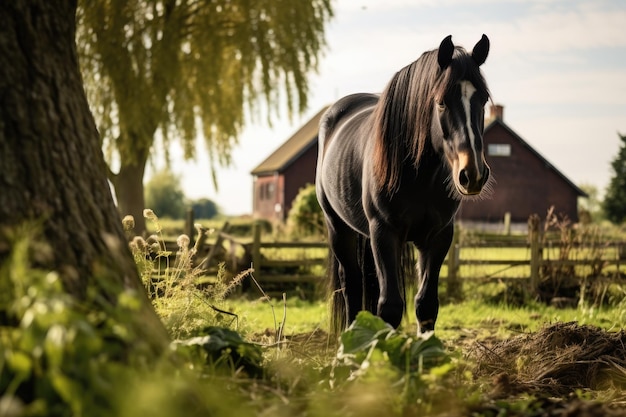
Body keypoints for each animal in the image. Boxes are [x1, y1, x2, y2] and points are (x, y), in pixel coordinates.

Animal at [314, 35, 490, 334]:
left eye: (484, 100)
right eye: (441, 102)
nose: (473, 174)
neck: (420, 177)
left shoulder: (438, 236)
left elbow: (426, 304)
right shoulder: (385, 232)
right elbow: (390, 307)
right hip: (337, 227)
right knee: (351, 283)